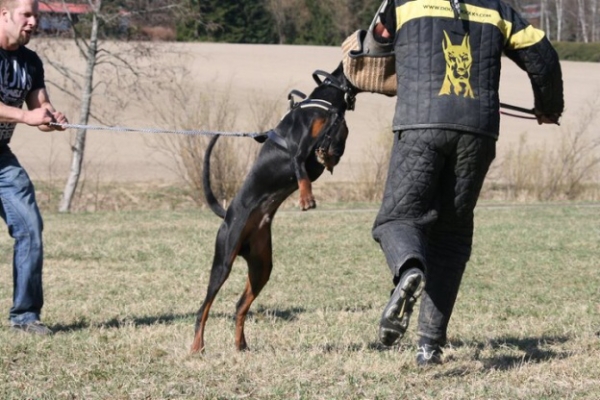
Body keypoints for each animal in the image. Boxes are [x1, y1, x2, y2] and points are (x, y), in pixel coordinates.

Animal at [191, 63, 356, 354]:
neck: (327, 103)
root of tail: (227, 214)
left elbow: (336, 142)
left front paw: (328, 152)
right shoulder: (299, 150)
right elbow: (301, 168)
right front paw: (306, 198)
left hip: (261, 266)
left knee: (240, 306)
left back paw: (241, 344)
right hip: (224, 259)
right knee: (204, 308)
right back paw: (197, 347)